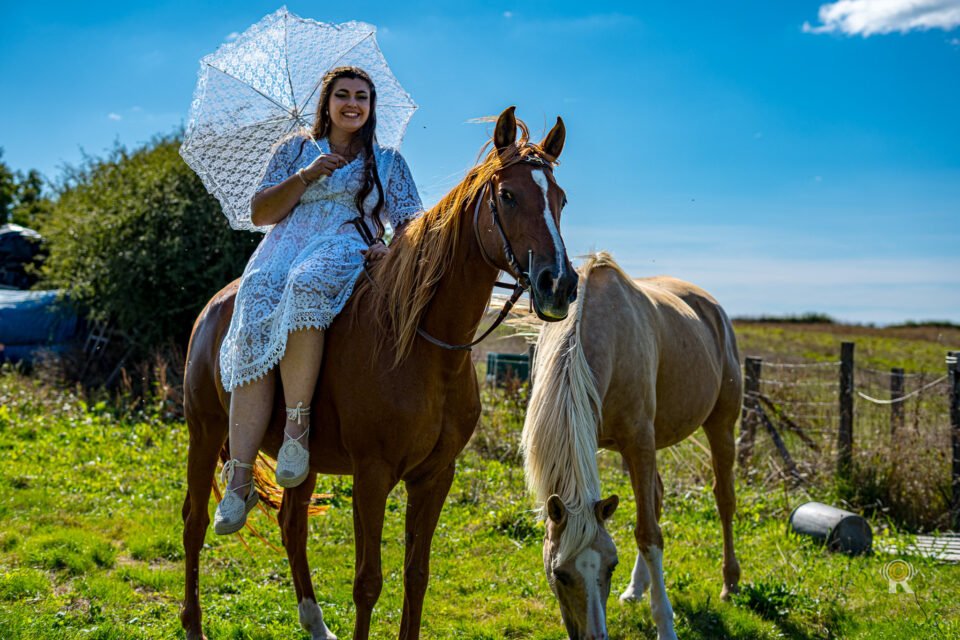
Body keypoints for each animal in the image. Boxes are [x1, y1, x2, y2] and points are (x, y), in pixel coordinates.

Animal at [180, 107, 579, 640]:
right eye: (509, 195)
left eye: (560, 199)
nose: (559, 284)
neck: (421, 348)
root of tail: (213, 307)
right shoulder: (372, 476)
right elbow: (368, 582)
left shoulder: (435, 477)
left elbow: (417, 575)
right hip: (203, 433)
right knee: (195, 522)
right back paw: (194, 621)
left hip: (302, 459)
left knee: (291, 524)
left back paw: (314, 623)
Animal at [521, 252, 742, 640]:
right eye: (560, 574)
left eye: (611, 566)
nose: (594, 636)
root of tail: (712, 307)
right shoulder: (625, 446)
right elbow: (646, 519)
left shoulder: (640, 442)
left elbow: (649, 534)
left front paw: (665, 625)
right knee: (656, 497)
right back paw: (638, 588)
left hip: (720, 426)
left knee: (724, 500)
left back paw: (729, 582)